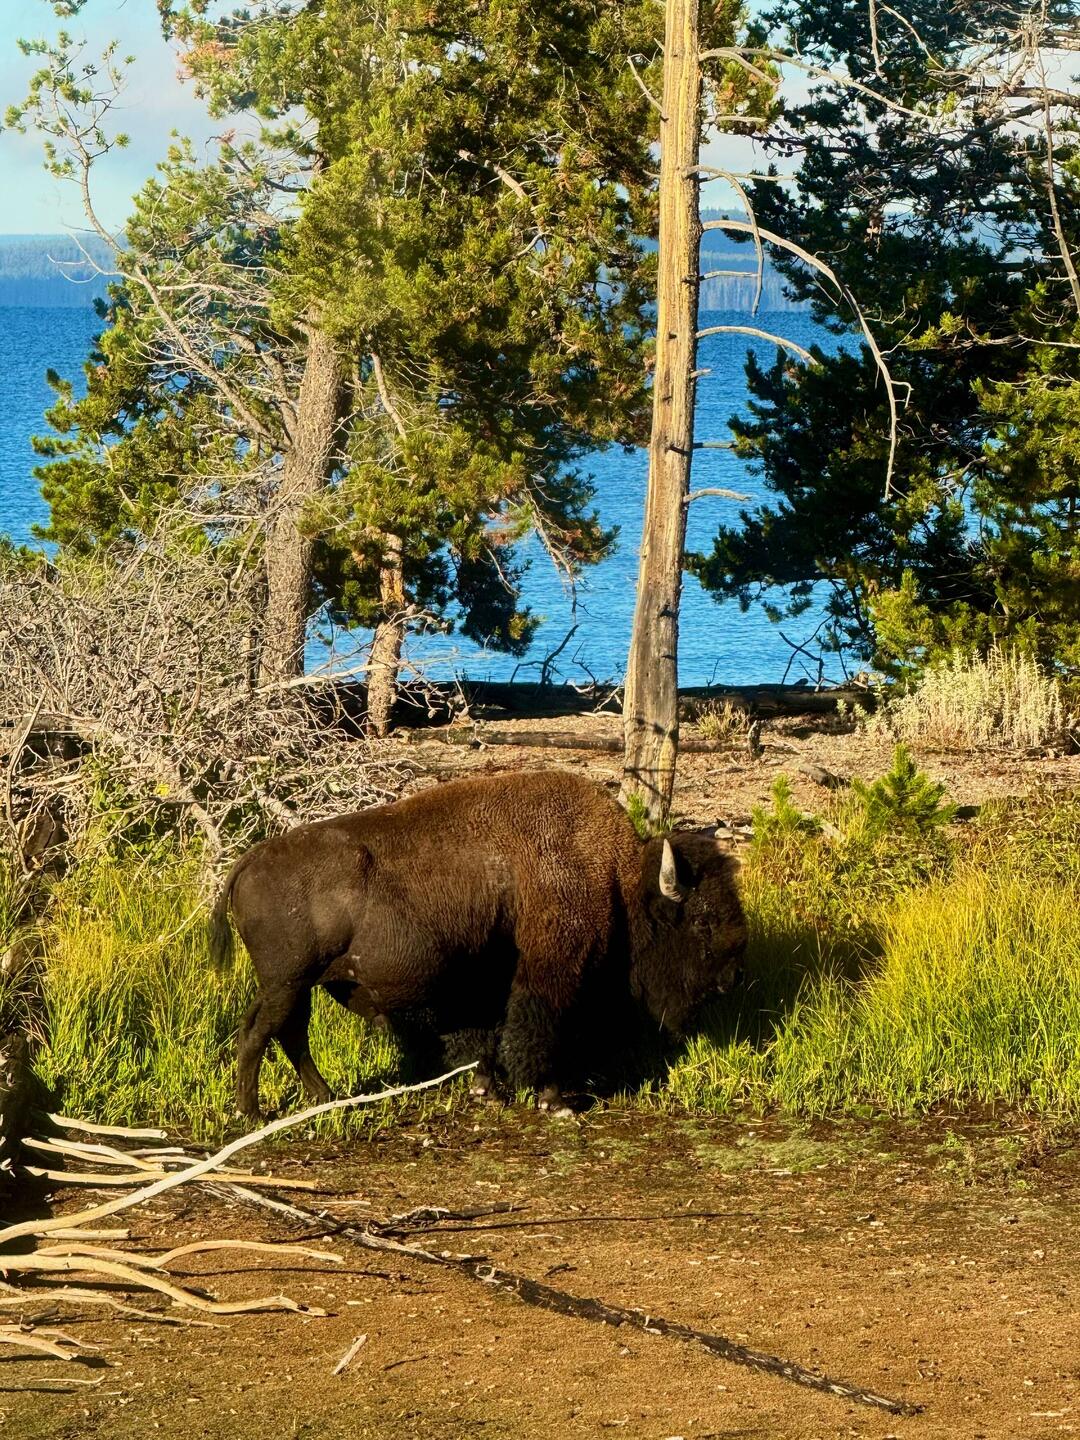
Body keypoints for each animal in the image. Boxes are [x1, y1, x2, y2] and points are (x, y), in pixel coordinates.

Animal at [209, 769, 746, 1118]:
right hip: (287, 983)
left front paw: (487, 1090)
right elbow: (537, 1030)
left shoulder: (483, 977)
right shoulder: (550, 969)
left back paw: (322, 1099)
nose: (729, 980)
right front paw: (554, 1102)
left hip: (297, 986)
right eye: (700, 922)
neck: (615, 876)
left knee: (286, 1034)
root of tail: (249, 860)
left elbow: (481, 1035)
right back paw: (251, 1112)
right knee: (258, 1034)